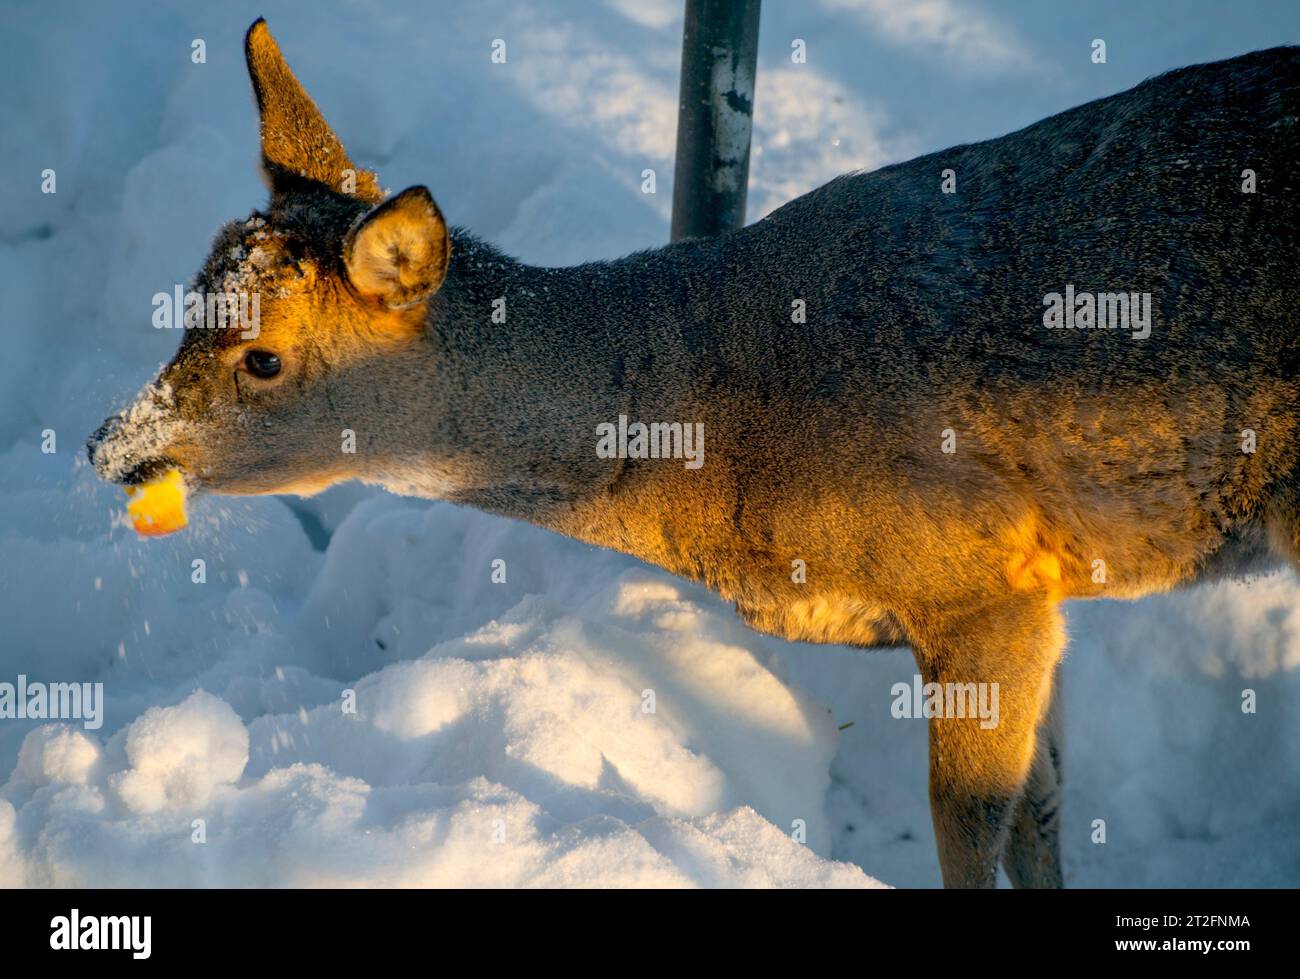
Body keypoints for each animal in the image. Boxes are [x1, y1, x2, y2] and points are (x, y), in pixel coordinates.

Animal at [88, 19, 1300, 887]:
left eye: (262, 358)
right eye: (188, 307)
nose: (108, 444)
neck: (709, 432)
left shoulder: (974, 583)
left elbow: (972, 831)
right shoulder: (1040, 585)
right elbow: (1043, 812)